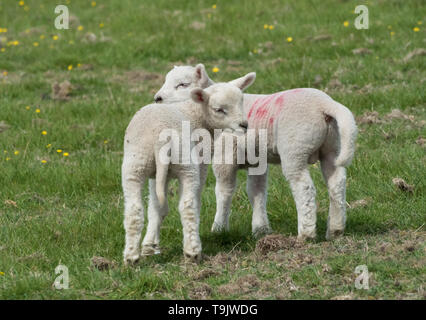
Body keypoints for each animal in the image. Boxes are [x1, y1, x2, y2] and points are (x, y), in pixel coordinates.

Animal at [121, 73, 255, 264]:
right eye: (219, 109)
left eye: (241, 102)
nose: (244, 125)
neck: (196, 113)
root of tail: (160, 137)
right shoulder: (201, 161)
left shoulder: (158, 175)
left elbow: (156, 207)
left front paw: (149, 245)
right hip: (186, 164)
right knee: (187, 206)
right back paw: (193, 251)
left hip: (135, 164)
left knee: (134, 209)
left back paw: (131, 257)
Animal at [155, 64, 358, 240]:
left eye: (183, 84)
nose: (157, 99)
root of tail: (326, 104)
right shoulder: (258, 160)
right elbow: (257, 191)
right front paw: (261, 229)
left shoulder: (225, 155)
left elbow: (224, 191)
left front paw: (219, 228)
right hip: (333, 147)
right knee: (337, 183)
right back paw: (336, 230)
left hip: (295, 148)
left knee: (304, 187)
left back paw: (306, 234)